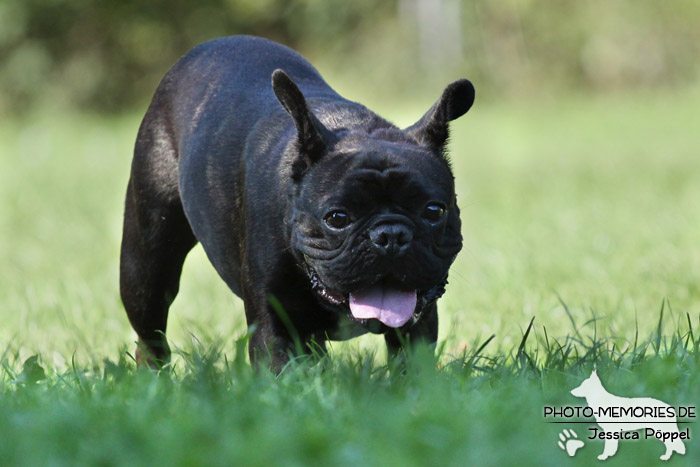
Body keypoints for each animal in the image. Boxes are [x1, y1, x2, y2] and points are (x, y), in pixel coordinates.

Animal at [120, 35, 476, 372]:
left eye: (434, 211)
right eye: (337, 218)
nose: (390, 235)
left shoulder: (418, 326)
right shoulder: (272, 323)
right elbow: (281, 369)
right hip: (147, 263)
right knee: (150, 330)